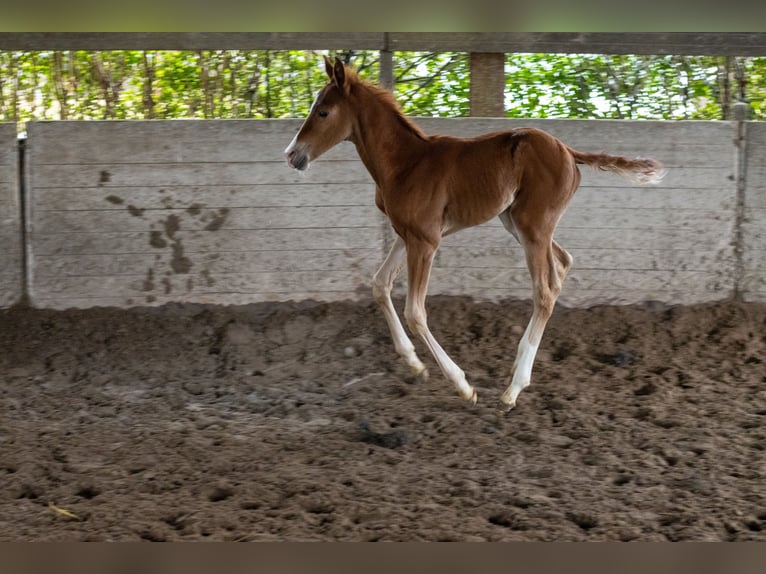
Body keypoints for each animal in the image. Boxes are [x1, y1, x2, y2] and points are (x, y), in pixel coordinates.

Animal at [286, 56, 664, 412]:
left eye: (323, 111)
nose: (292, 155)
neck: (405, 163)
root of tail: (569, 152)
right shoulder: (406, 234)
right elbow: (380, 285)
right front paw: (415, 366)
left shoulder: (426, 241)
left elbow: (415, 312)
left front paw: (463, 387)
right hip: (517, 223)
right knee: (562, 265)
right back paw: (517, 369)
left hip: (533, 225)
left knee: (544, 292)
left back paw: (512, 391)